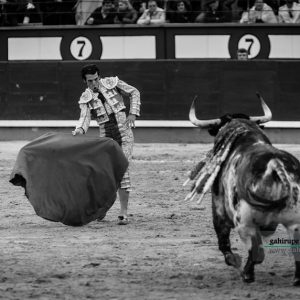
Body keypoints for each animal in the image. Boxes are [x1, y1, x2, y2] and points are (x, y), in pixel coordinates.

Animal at [186, 94, 300, 286]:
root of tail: (275, 163)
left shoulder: (219, 210)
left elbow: (224, 243)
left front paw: (235, 261)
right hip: (294, 223)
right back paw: (296, 279)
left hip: (244, 221)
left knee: (256, 252)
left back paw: (247, 274)